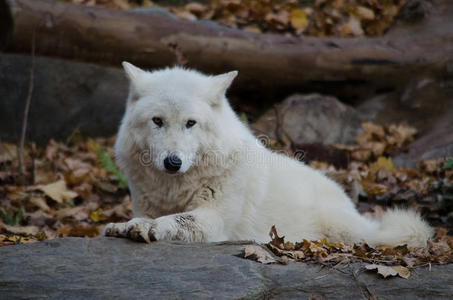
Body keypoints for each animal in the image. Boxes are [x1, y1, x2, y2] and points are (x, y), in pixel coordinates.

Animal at [104, 62, 432, 247]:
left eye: (190, 123)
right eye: (157, 121)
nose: (173, 162)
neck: (175, 187)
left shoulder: (215, 219)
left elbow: (177, 219)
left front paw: (148, 227)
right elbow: (142, 217)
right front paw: (124, 225)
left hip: (347, 231)